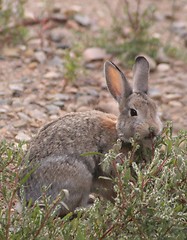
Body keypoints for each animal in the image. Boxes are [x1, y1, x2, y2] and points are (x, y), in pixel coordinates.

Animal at [19, 55, 162, 216]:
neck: (119, 132)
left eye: (155, 108)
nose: (153, 129)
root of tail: (28, 199)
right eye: (133, 112)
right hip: (79, 177)